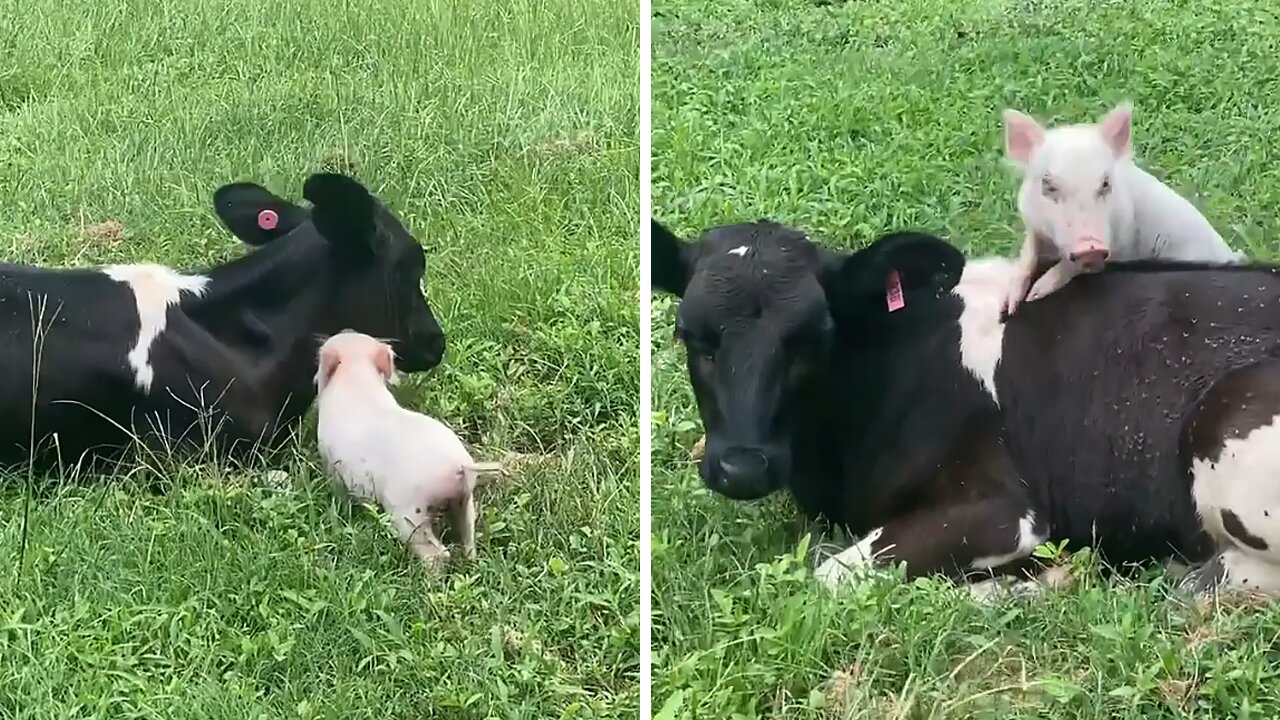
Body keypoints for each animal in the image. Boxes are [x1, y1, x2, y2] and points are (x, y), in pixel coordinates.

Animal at [314, 330, 504, 566]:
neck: (357, 378)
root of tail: (459, 466)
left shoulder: (332, 461)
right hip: (465, 501)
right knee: (468, 536)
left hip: (408, 512)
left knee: (437, 552)